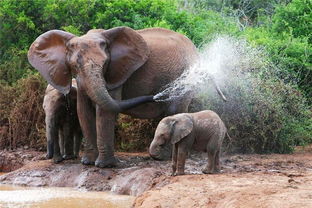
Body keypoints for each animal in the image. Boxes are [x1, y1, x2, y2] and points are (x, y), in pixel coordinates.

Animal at [26, 26, 223, 167]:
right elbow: (83, 110)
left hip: (185, 77)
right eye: (75, 65)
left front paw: (105, 166)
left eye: (105, 63)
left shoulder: (116, 73)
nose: (155, 95)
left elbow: (104, 111)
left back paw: (161, 158)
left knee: (174, 109)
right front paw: (88, 163)